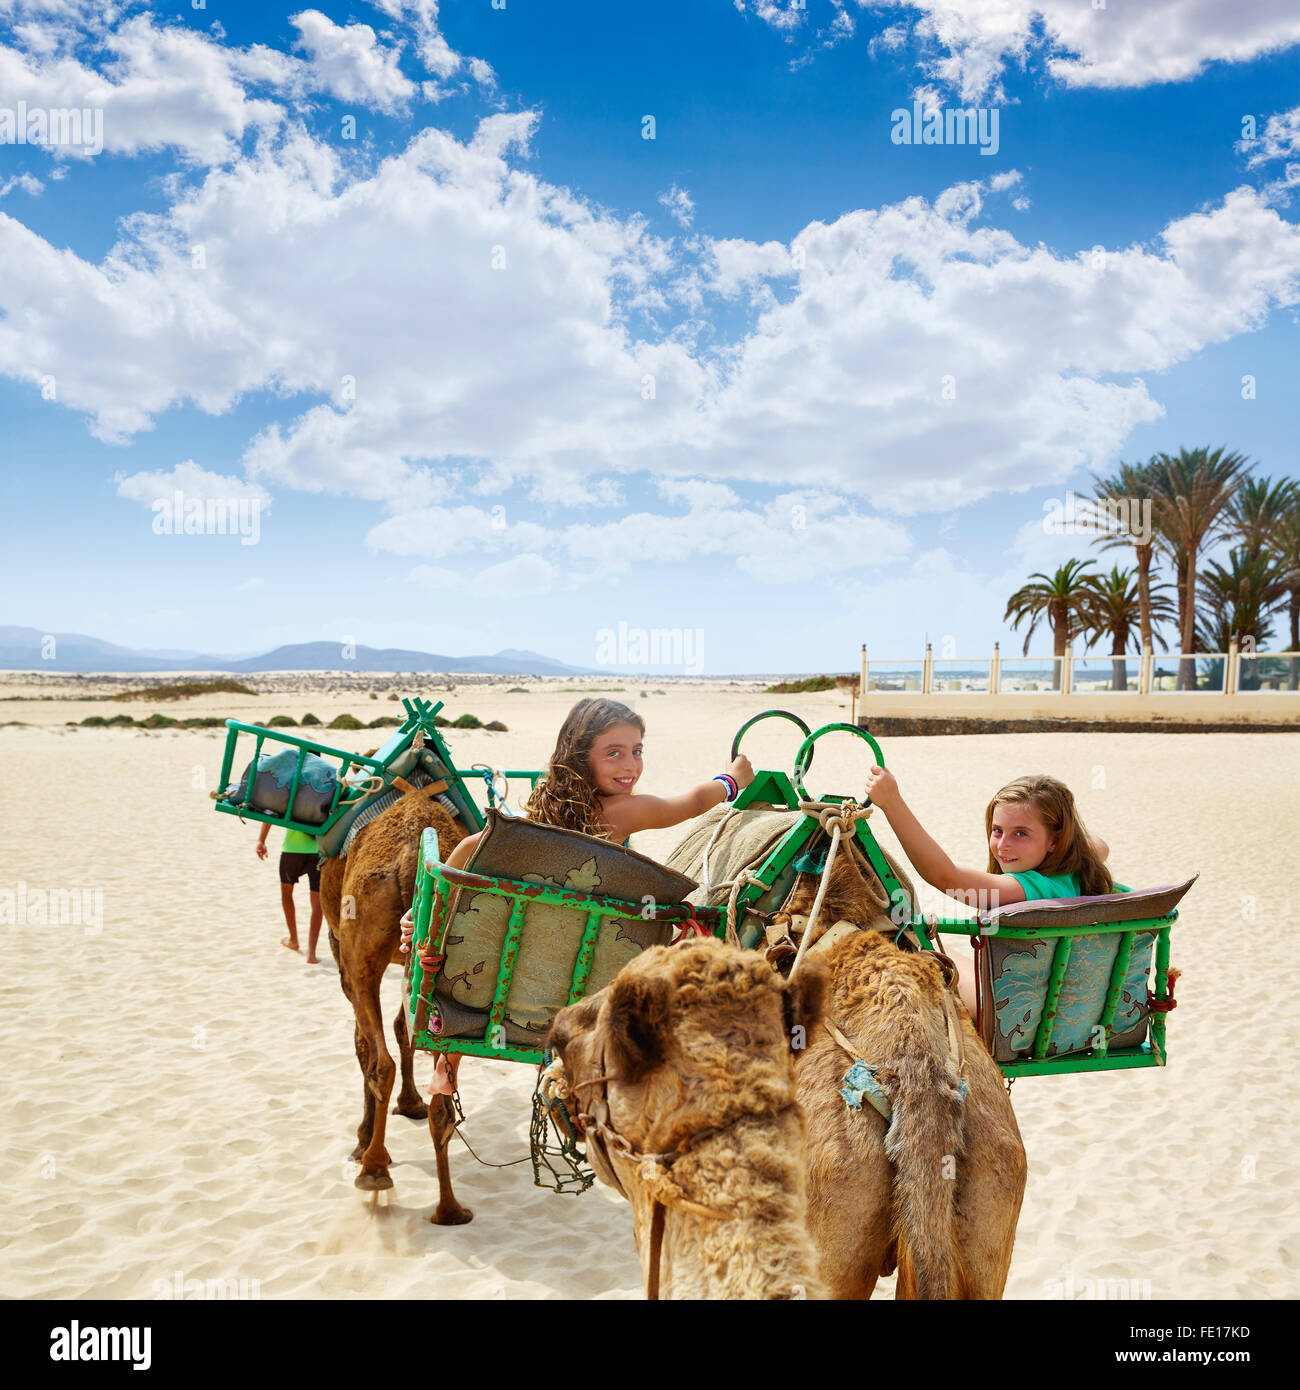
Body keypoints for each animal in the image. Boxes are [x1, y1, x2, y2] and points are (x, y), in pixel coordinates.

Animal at [319, 784, 471, 1219]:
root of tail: (407, 855)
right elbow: (404, 1029)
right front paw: (411, 1103)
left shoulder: (341, 952)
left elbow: (364, 1044)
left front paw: (362, 1139)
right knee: (442, 1092)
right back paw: (449, 1208)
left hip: (358, 944)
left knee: (378, 1061)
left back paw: (374, 1166)